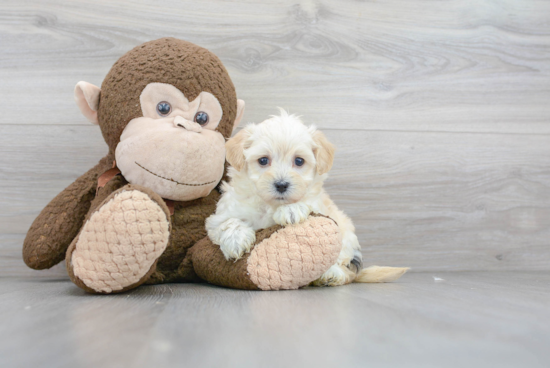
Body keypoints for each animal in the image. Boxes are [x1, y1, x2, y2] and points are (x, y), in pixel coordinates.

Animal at [205, 110, 408, 286]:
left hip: (346, 235)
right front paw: (236, 241)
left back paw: (331, 274)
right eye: (263, 160)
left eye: (299, 161)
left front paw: (291, 209)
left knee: (343, 265)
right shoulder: (222, 215)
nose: (281, 185)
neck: (270, 204)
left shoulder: (319, 206)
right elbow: (228, 222)